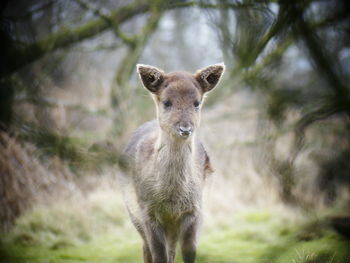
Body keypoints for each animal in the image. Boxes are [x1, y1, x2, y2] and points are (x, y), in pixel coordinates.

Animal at [121, 63, 226, 263]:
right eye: (167, 102)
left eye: (197, 103)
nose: (185, 128)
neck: (172, 200)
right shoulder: (147, 210)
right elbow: (158, 254)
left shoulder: (194, 208)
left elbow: (188, 252)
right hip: (133, 213)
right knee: (146, 249)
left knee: (171, 251)